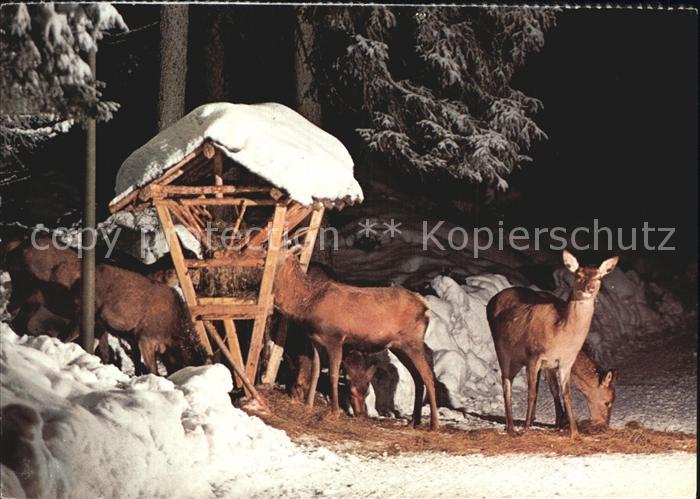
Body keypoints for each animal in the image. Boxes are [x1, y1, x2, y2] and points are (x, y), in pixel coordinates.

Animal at [273, 246, 440, 430]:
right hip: (399, 346)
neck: (307, 303)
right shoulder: (315, 340)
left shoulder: (335, 338)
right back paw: (414, 422)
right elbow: (315, 372)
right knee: (418, 377)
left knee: (428, 375)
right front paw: (308, 406)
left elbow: (332, 375)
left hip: (413, 341)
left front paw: (334, 412)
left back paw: (434, 424)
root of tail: (425, 306)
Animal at [486, 250, 618, 439]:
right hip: (502, 350)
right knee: (506, 384)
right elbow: (533, 393)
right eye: (608, 402)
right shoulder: (534, 356)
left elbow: (563, 393)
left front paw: (571, 430)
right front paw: (526, 429)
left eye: (599, 277)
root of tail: (491, 300)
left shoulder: (561, 363)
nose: (604, 425)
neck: (559, 336)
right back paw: (511, 427)